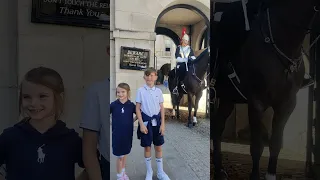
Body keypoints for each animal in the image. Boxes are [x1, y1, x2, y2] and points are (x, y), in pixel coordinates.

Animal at [211, 0, 318, 179]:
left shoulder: (287, 105)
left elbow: (275, 143)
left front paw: (270, 174)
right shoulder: (256, 104)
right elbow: (257, 147)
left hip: (227, 99)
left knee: (217, 128)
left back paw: (219, 170)